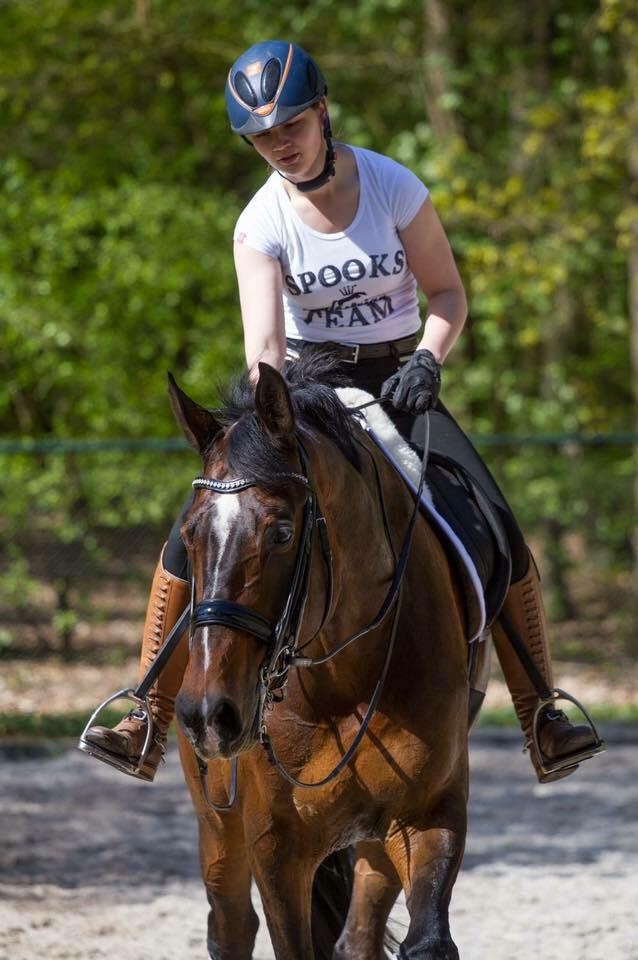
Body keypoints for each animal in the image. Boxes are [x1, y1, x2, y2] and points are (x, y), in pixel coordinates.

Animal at [170, 354, 480, 960]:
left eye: (282, 533)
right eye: (189, 536)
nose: (208, 714)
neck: (343, 675)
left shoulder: (429, 811)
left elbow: (428, 940)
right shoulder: (275, 845)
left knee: (358, 935)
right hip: (216, 822)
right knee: (230, 926)